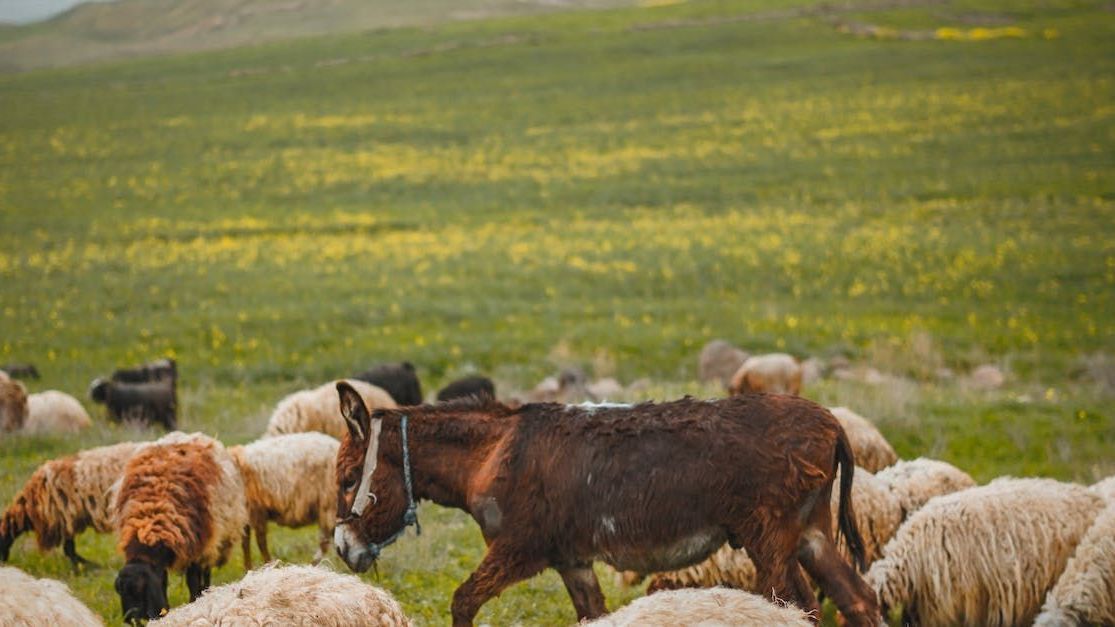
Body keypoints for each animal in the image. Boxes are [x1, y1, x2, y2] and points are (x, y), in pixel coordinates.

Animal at [113, 431, 247, 621]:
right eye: (120, 592)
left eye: (140, 590)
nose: (131, 620)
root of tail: (189, 436)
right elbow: (163, 580)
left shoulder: (195, 548)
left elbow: (192, 580)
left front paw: (194, 602)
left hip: (211, 541)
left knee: (205, 572)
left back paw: (205, 591)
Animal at [228, 432, 339, 569]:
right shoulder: (249, 514)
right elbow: (247, 542)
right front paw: (249, 568)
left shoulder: (256, 510)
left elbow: (260, 541)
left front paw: (267, 564)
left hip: (328, 501)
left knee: (327, 538)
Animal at [332, 382, 880, 626]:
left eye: (347, 480)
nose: (341, 548)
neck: (491, 453)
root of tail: (831, 422)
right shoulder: (572, 561)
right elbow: (592, 616)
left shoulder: (518, 551)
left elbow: (462, 600)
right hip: (809, 534)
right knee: (858, 600)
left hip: (768, 541)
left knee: (803, 608)